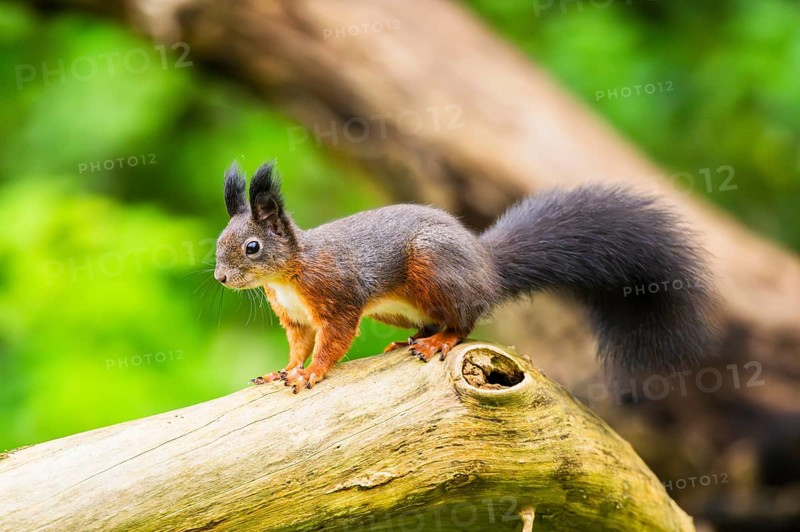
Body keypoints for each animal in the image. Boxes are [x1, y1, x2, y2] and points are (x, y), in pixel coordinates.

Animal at [214, 160, 717, 393]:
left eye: (252, 247)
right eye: (220, 241)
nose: (220, 278)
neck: (288, 275)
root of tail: (485, 267)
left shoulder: (337, 294)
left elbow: (333, 340)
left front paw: (312, 373)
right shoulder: (295, 318)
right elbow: (298, 344)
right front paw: (284, 370)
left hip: (433, 265)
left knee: (466, 320)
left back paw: (439, 340)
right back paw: (415, 337)